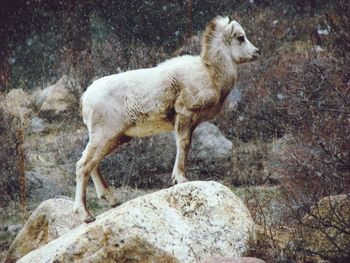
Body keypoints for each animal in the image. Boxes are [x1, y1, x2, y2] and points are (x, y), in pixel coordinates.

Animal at [74, 16, 260, 223]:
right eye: (240, 38)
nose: (256, 52)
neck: (211, 74)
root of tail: (86, 98)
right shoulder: (185, 115)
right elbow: (183, 145)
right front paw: (180, 179)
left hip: (115, 138)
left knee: (93, 164)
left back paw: (112, 201)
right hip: (104, 136)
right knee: (83, 165)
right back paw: (86, 215)